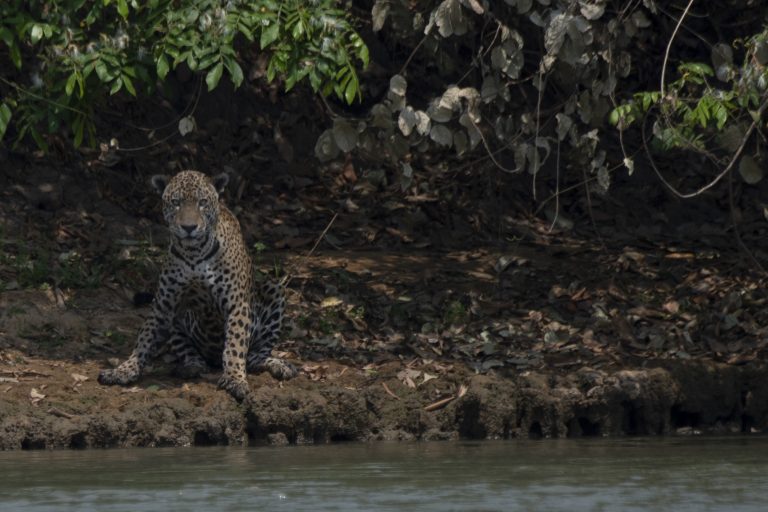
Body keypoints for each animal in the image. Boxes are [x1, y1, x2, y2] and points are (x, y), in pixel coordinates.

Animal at [98, 170, 296, 400]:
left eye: (202, 203)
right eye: (176, 203)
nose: (189, 227)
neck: (194, 253)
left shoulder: (237, 304)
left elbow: (235, 344)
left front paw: (235, 379)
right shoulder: (163, 304)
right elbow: (144, 339)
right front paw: (124, 370)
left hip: (274, 290)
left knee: (256, 356)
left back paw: (279, 365)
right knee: (191, 353)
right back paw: (190, 366)